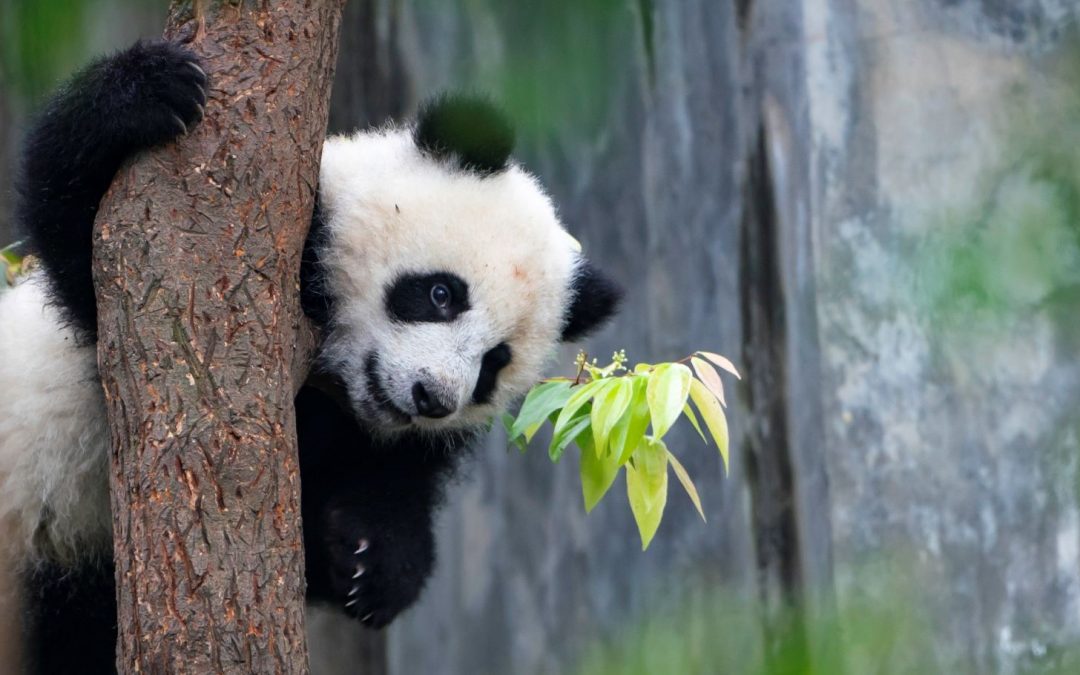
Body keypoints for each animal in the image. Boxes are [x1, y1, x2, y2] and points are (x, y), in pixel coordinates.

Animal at [0, 41, 621, 674]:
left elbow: (370, 496)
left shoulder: (364, 438)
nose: (432, 398)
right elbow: (89, 243)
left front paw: (376, 561)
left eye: (495, 363)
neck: (329, 380)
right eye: (442, 294)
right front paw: (146, 91)